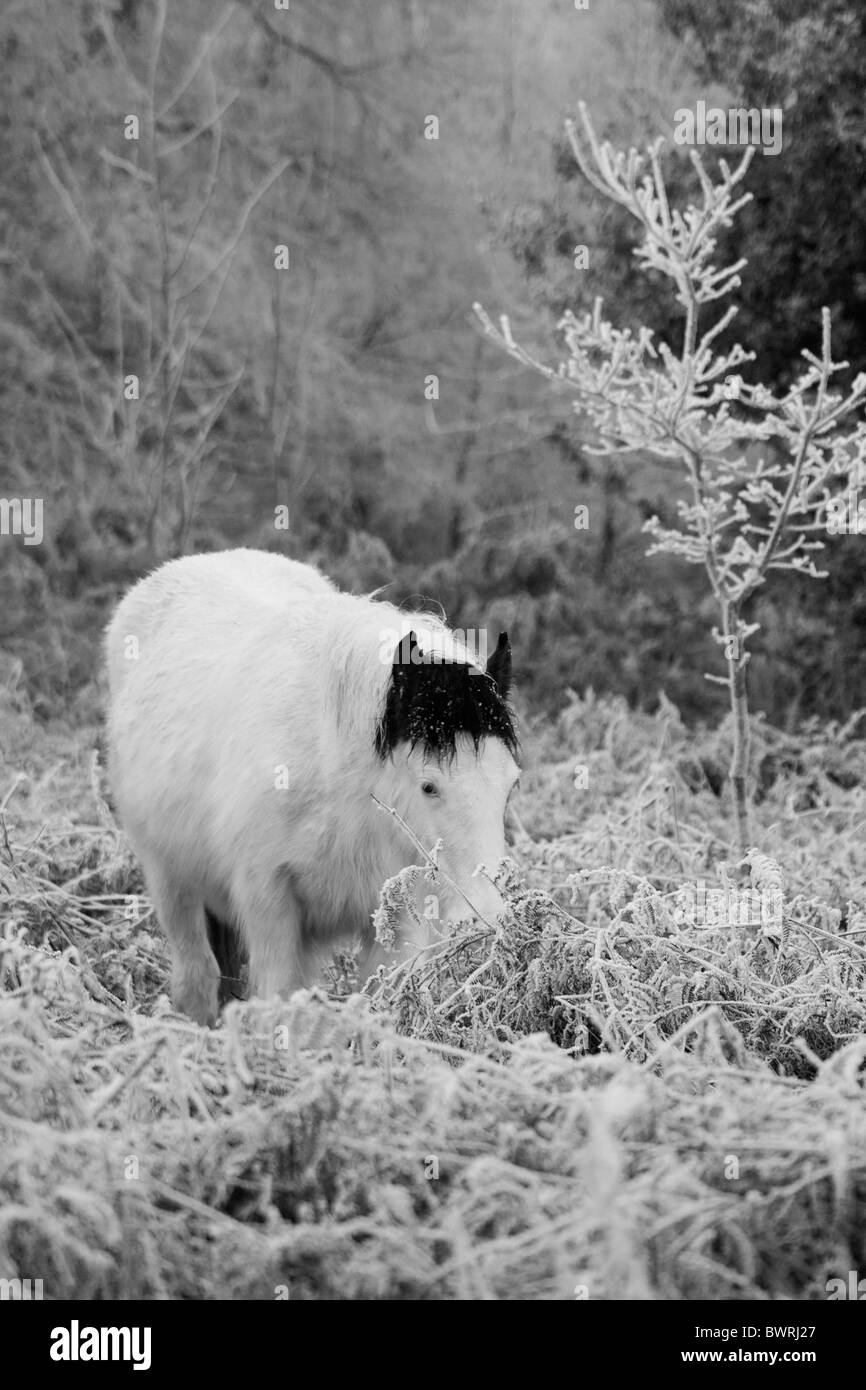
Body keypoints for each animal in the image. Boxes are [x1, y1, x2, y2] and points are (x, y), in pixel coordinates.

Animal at [104, 550, 517, 1023]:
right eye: (429, 787)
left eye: (510, 786)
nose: (487, 917)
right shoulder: (269, 904)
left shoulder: (397, 921)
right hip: (170, 881)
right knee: (197, 975)